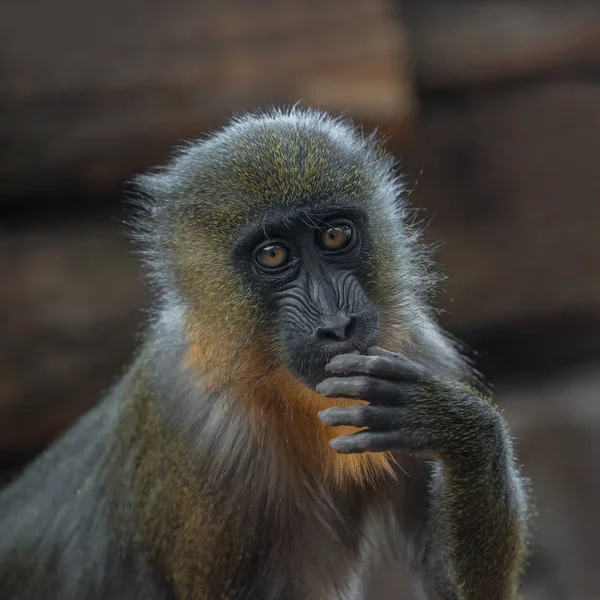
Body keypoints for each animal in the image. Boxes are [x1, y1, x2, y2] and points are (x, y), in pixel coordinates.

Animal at [0, 109, 528, 600]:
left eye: (334, 236)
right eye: (273, 255)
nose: (337, 325)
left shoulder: (418, 355)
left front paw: (455, 426)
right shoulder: (201, 431)